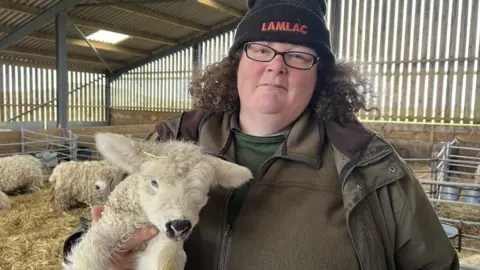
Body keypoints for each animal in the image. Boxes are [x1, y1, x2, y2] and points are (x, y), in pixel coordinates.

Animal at [62, 132, 253, 270]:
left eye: (204, 191)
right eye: (154, 182)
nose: (179, 225)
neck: (140, 221)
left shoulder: (165, 241)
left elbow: (166, 261)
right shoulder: (108, 228)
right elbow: (87, 259)